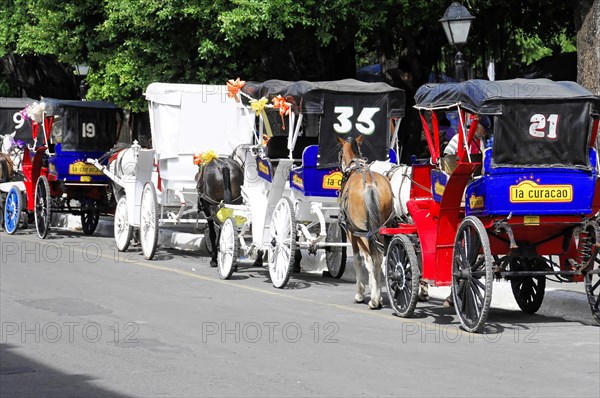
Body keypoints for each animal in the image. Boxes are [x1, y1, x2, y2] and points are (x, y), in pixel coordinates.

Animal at [336, 135, 396, 310]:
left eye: (340, 153)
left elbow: (358, 260)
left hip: (362, 232)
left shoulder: (351, 233)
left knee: (370, 260)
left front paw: (360, 293)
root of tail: (369, 183)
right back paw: (378, 297)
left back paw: (373, 300)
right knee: (380, 259)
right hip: (383, 228)